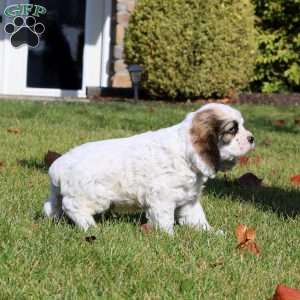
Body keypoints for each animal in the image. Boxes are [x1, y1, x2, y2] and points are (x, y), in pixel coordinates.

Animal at [44, 103, 255, 234]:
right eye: (232, 130)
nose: (252, 138)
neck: (185, 152)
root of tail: (58, 165)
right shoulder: (162, 197)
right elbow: (164, 219)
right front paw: (170, 236)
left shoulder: (190, 200)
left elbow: (197, 219)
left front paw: (211, 232)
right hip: (92, 196)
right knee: (73, 207)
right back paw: (90, 226)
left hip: (58, 193)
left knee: (50, 206)